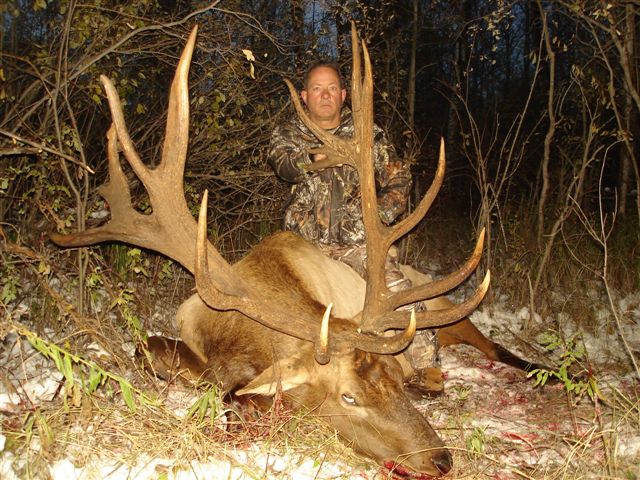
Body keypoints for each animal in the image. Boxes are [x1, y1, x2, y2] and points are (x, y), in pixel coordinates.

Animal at [50, 24, 546, 477]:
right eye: (349, 396)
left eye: (395, 381)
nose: (441, 458)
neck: (240, 333)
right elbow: (153, 352)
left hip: (446, 311)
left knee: (493, 346)